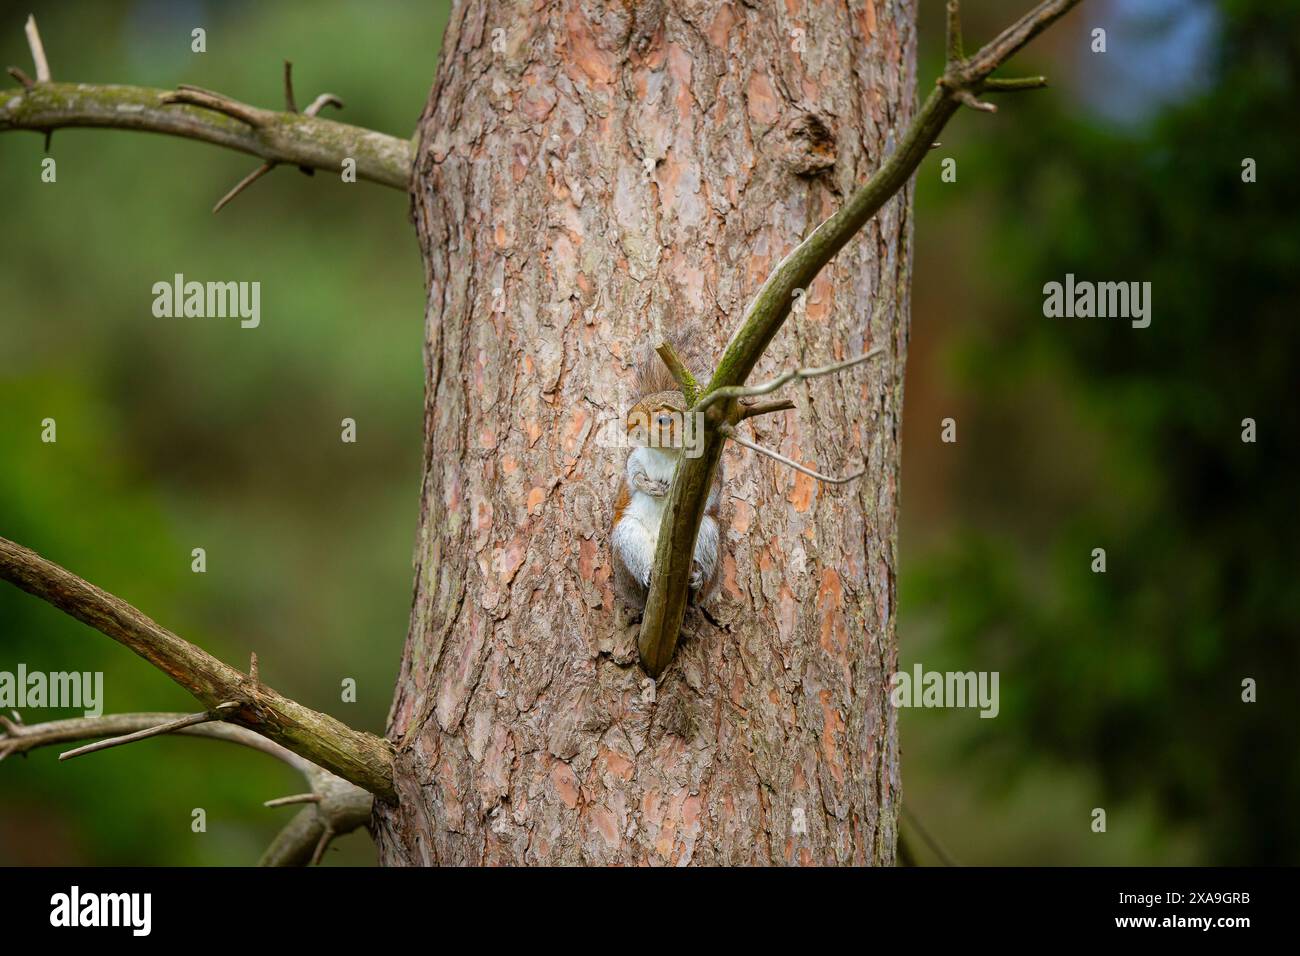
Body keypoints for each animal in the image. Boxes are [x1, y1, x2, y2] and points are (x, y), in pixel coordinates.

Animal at [611, 337, 724, 610]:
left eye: (663, 420)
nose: (628, 422)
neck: (667, 452)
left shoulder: (713, 469)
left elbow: (712, 492)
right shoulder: (637, 456)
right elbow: (633, 474)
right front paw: (649, 486)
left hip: (706, 534)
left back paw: (696, 579)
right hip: (628, 536)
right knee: (638, 562)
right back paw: (648, 574)